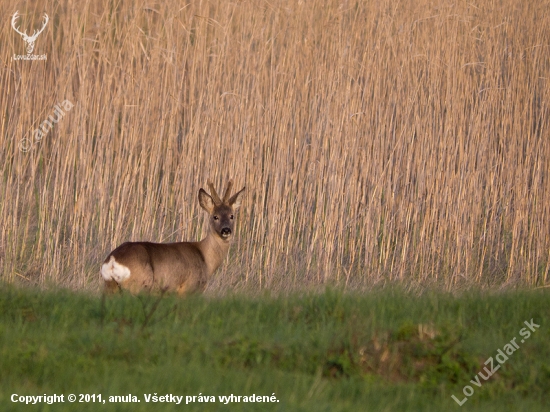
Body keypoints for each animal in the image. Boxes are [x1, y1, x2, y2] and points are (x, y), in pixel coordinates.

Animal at [101, 179, 246, 292]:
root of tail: (112, 262)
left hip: (111, 288)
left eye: (232, 216)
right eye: (215, 216)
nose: (226, 230)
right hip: (138, 285)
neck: (205, 258)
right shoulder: (188, 288)